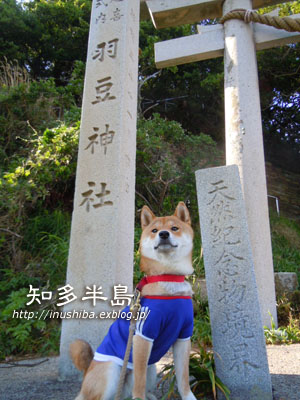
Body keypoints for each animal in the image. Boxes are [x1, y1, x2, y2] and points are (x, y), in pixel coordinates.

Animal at [70, 203, 197, 400]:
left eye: (174, 228)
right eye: (154, 230)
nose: (164, 234)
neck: (168, 277)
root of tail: (87, 373)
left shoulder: (183, 335)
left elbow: (183, 378)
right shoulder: (143, 335)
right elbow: (139, 381)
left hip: (152, 367)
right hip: (111, 371)